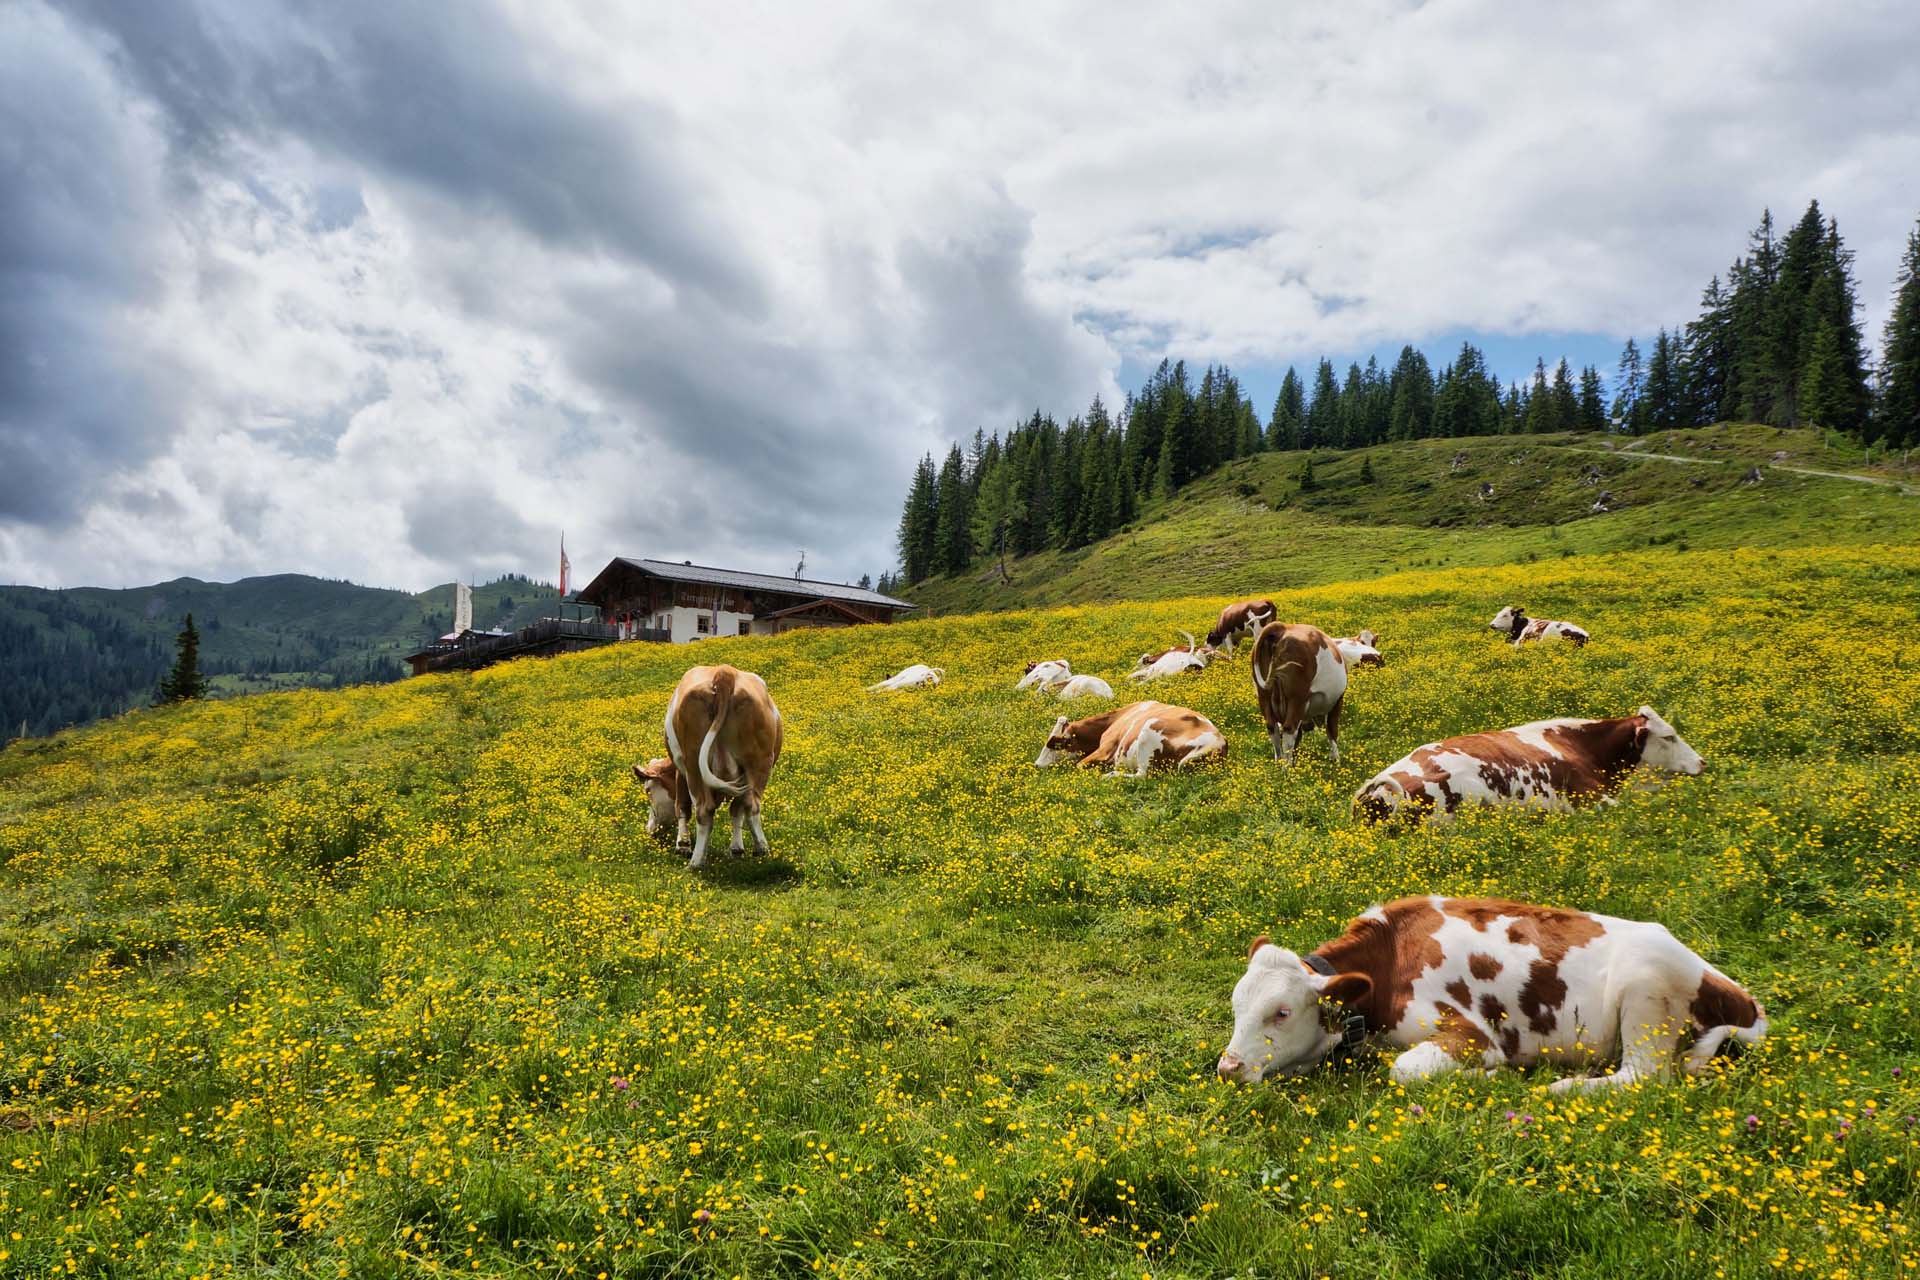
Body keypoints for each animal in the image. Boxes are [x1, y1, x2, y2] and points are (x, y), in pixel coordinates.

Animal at [660, 667, 779, 867]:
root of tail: (724, 672)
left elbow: (682, 806)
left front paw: (683, 845)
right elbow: (736, 809)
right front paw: (737, 849)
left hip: (695, 766)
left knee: (706, 810)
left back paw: (696, 861)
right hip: (758, 762)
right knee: (750, 805)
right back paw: (761, 849)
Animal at [1221, 898, 1758, 1097]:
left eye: (1281, 1012)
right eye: (1236, 1006)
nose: (1227, 1068)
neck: (1391, 957)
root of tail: (1742, 996)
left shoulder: (1471, 1033)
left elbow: (1404, 1070)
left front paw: (1490, 1075)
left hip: (1646, 991)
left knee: (1642, 1078)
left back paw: (1558, 1087)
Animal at [1244, 625, 1351, 767]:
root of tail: (1282, 628)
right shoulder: (1337, 701)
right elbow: (1332, 731)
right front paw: (1335, 759)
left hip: (1263, 695)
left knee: (1273, 728)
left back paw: (1279, 763)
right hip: (1297, 698)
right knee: (1290, 729)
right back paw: (1287, 768)